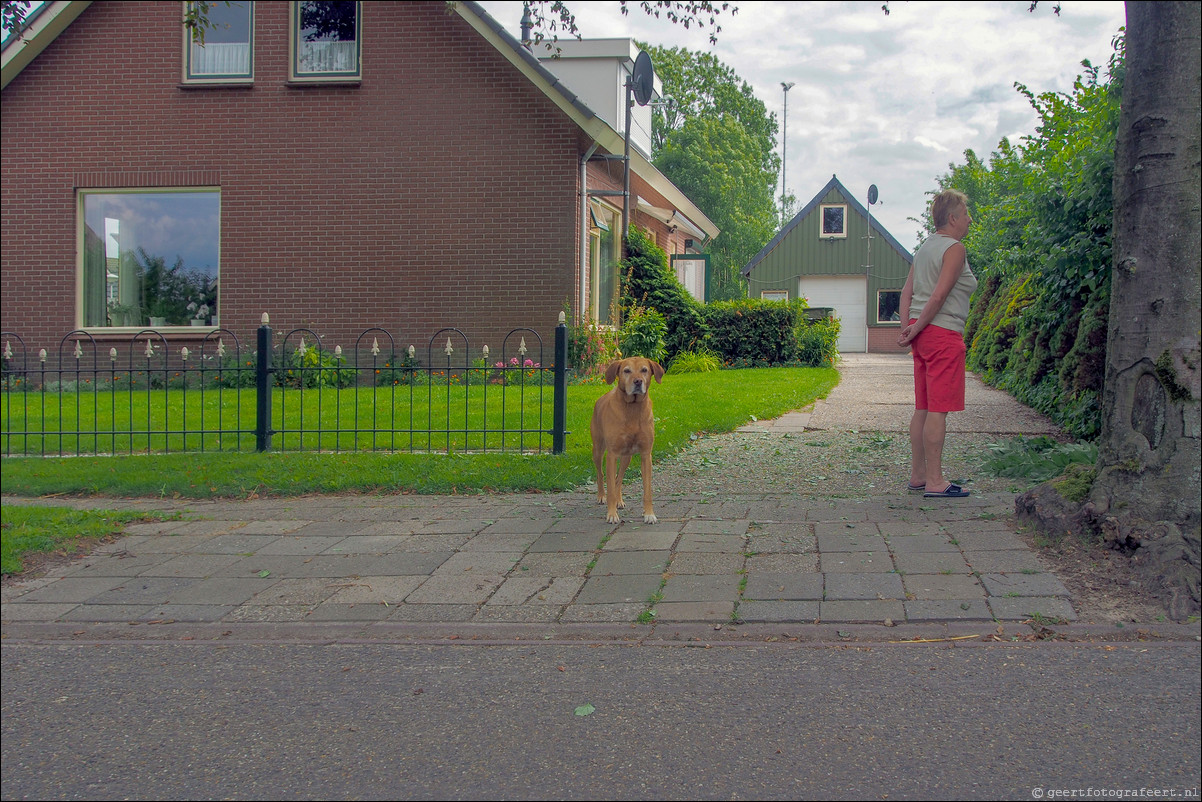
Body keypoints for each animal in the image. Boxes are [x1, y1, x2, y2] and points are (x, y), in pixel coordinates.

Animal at [586, 358, 663, 526]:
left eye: (644, 370)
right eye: (626, 371)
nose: (638, 381)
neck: (633, 408)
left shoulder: (646, 454)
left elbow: (647, 490)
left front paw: (649, 514)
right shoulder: (612, 455)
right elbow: (609, 486)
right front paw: (611, 514)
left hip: (627, 457)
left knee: (618, 478)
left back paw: (619, 500)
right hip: (598, 450)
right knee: (601, 474)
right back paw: (601, 496)